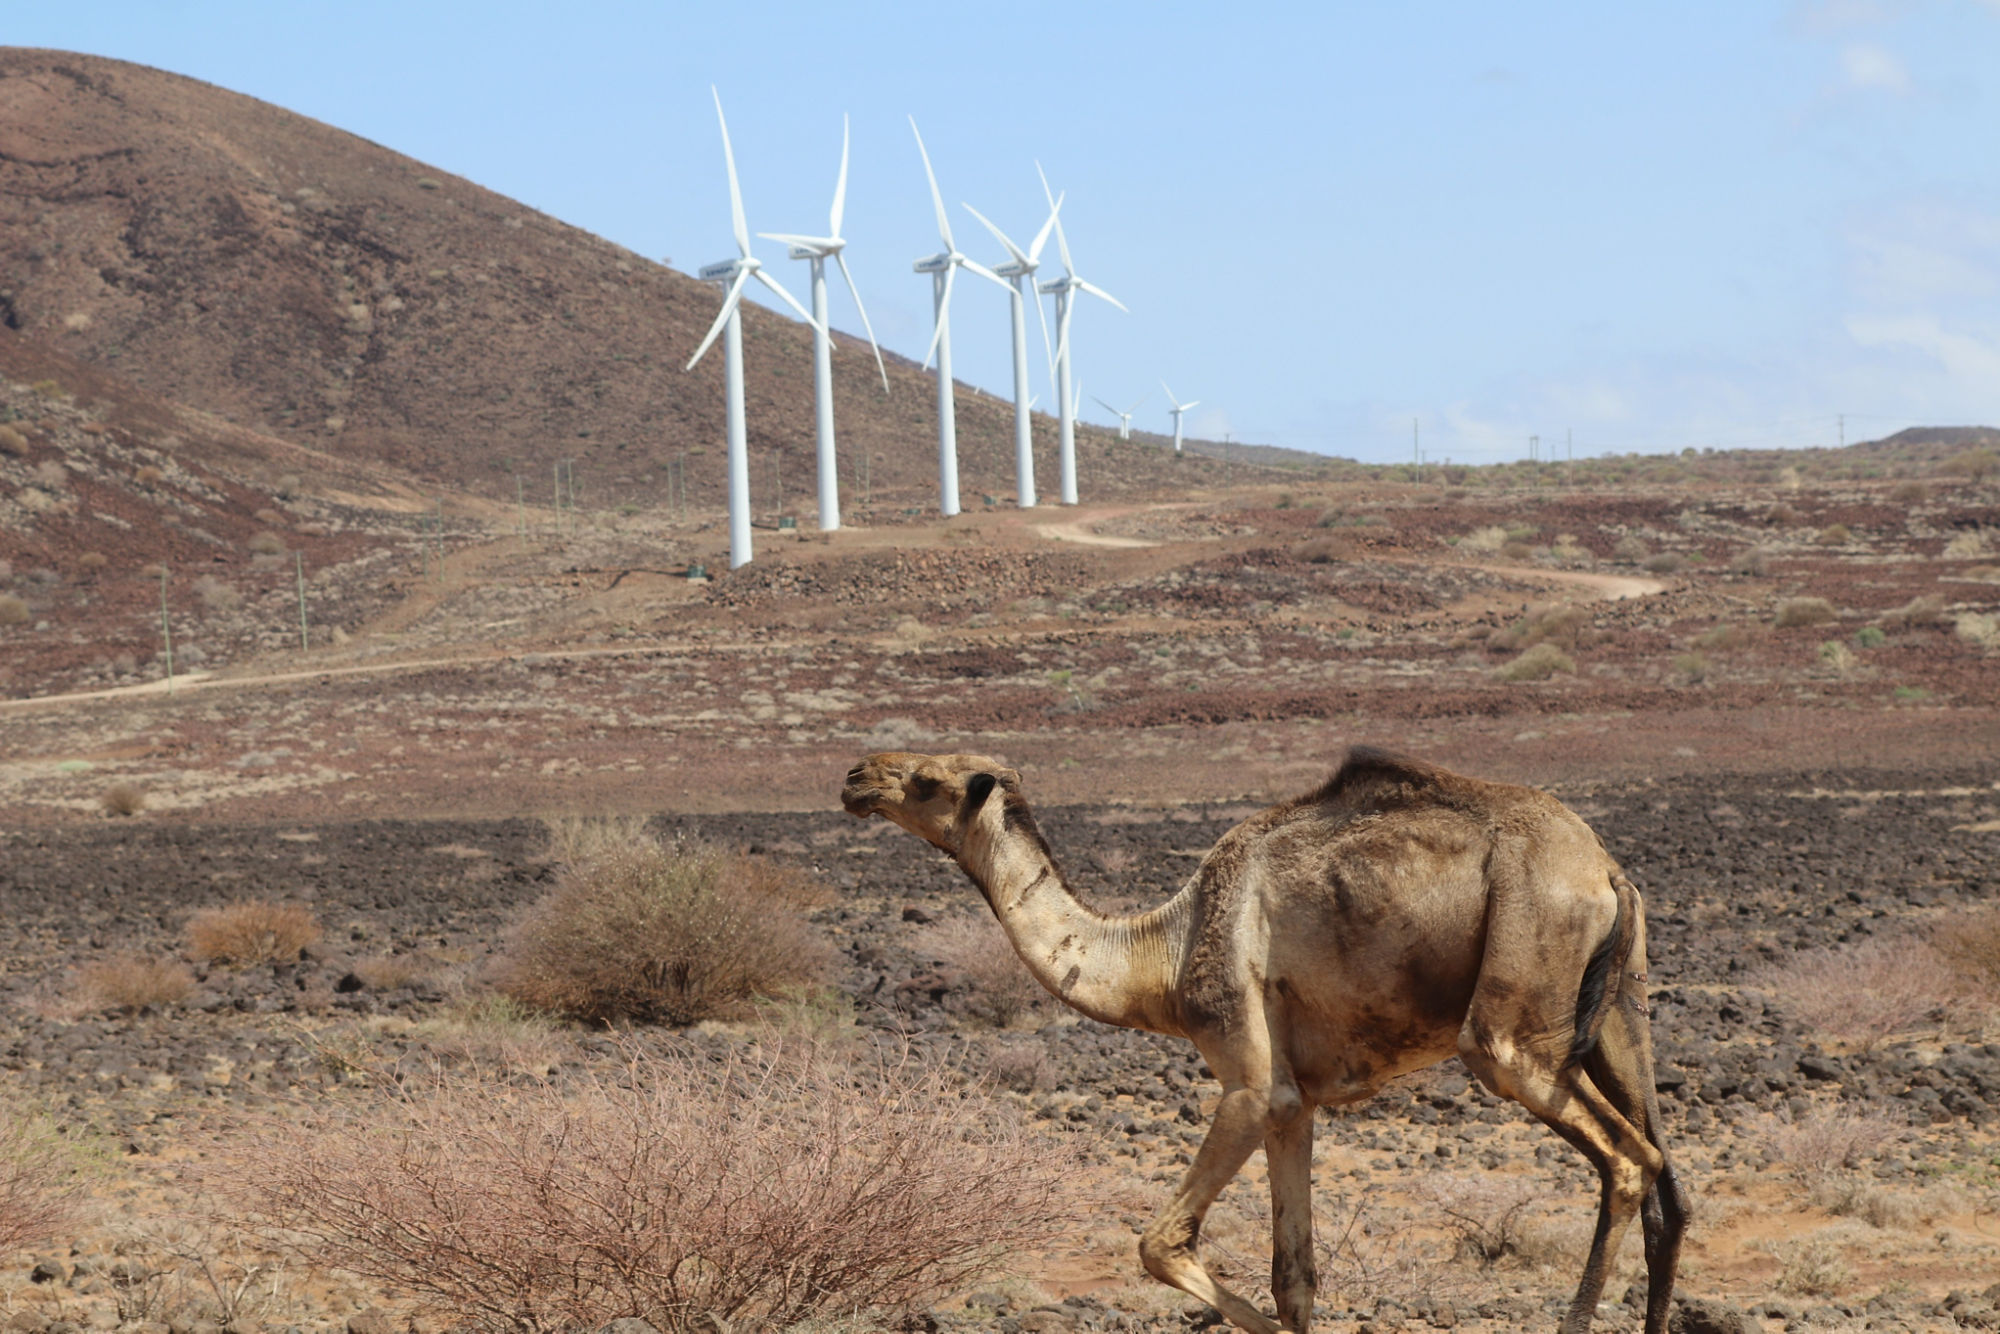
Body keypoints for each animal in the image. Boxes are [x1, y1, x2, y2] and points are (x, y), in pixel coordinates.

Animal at [841, 747, 1686, 1334]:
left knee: (1626, 1159)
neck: (1167, 953)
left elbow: (1161, 1244)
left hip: (1511, 1019)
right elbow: (1295, 1279)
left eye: (926, 780)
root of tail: (1606, 872)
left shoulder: (1250, 1085)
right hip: (1618, 1013)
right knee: (1665, 1182)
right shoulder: (1295, 1106)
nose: (855, 777)